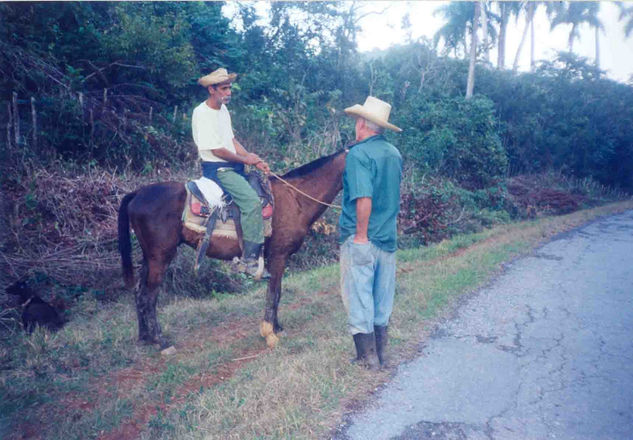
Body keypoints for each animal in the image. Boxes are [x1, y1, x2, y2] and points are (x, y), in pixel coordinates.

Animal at [118, 150, 346, 348]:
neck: (295, 198)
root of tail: (137, 193)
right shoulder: (279, 256)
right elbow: (272, 294)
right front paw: (269, 333)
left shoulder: (278, 258)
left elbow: (278, 293)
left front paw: (277, 327)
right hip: (160, 257)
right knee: (150, 296)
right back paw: (160, 341)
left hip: (149, 257)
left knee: (139, 293)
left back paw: (145, 337)